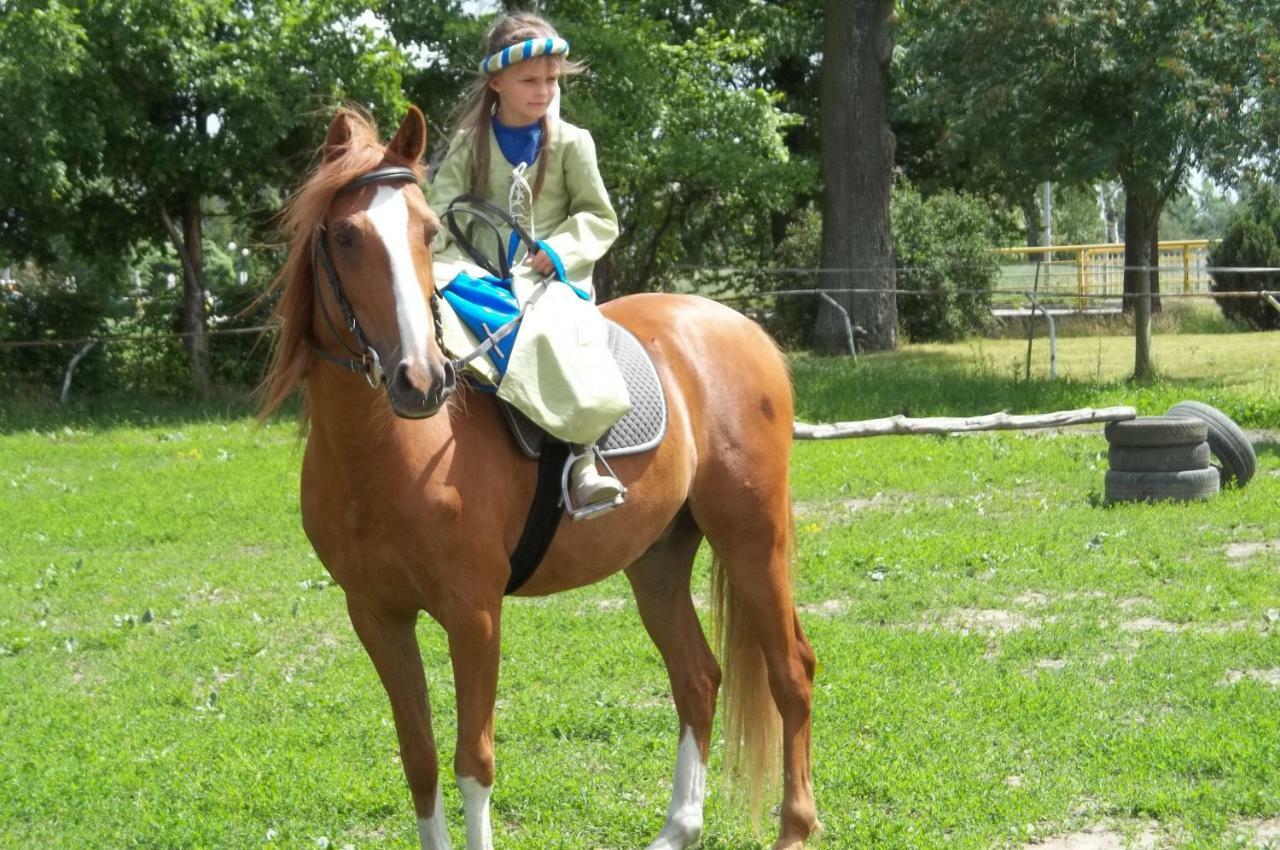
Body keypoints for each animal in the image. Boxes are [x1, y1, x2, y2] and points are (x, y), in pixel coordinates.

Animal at [261, 106, 819, 850]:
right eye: (347, 236)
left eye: (428, 231)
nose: (422, 379)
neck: (385, 454)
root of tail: (743, 330)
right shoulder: (377, 616)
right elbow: (420, 759)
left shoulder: (474, 612)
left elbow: (473, 763)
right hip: (657, 558)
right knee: (699, 677)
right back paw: (677, 828)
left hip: (752, 537)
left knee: (791, 673)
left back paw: (794, 827)